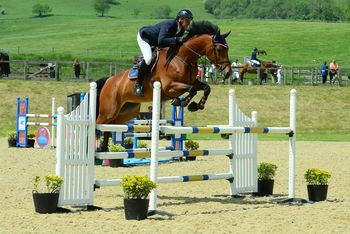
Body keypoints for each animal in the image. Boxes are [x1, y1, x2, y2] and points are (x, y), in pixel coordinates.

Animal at [95, 20, 232, 152]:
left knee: (110, 126)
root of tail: (109, 80)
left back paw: (103, 147)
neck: (182, 58)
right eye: (219, 49)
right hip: (108, 110)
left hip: (126, 112)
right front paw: (182, 102)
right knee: (98, 124)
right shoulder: (169, 86)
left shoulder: (193, 82)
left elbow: (206, 88)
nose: (228, 72)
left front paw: (196, 105)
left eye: (227, 49)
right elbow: (191, 90)